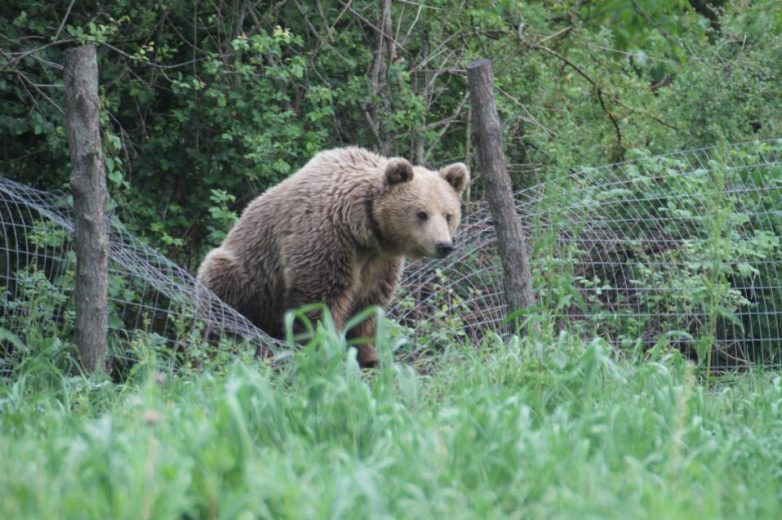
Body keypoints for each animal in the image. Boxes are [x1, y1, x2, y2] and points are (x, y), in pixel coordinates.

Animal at [199, 146, 468, 366]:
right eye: (421, 214)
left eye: (448, 214)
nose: (444, 245)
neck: (361, 229)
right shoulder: (326, 238)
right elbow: (322, 299)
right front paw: (329, 349)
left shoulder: (379, 261)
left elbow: (368, 304)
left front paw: (369, 356)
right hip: (247, 274)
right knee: (221, 287)